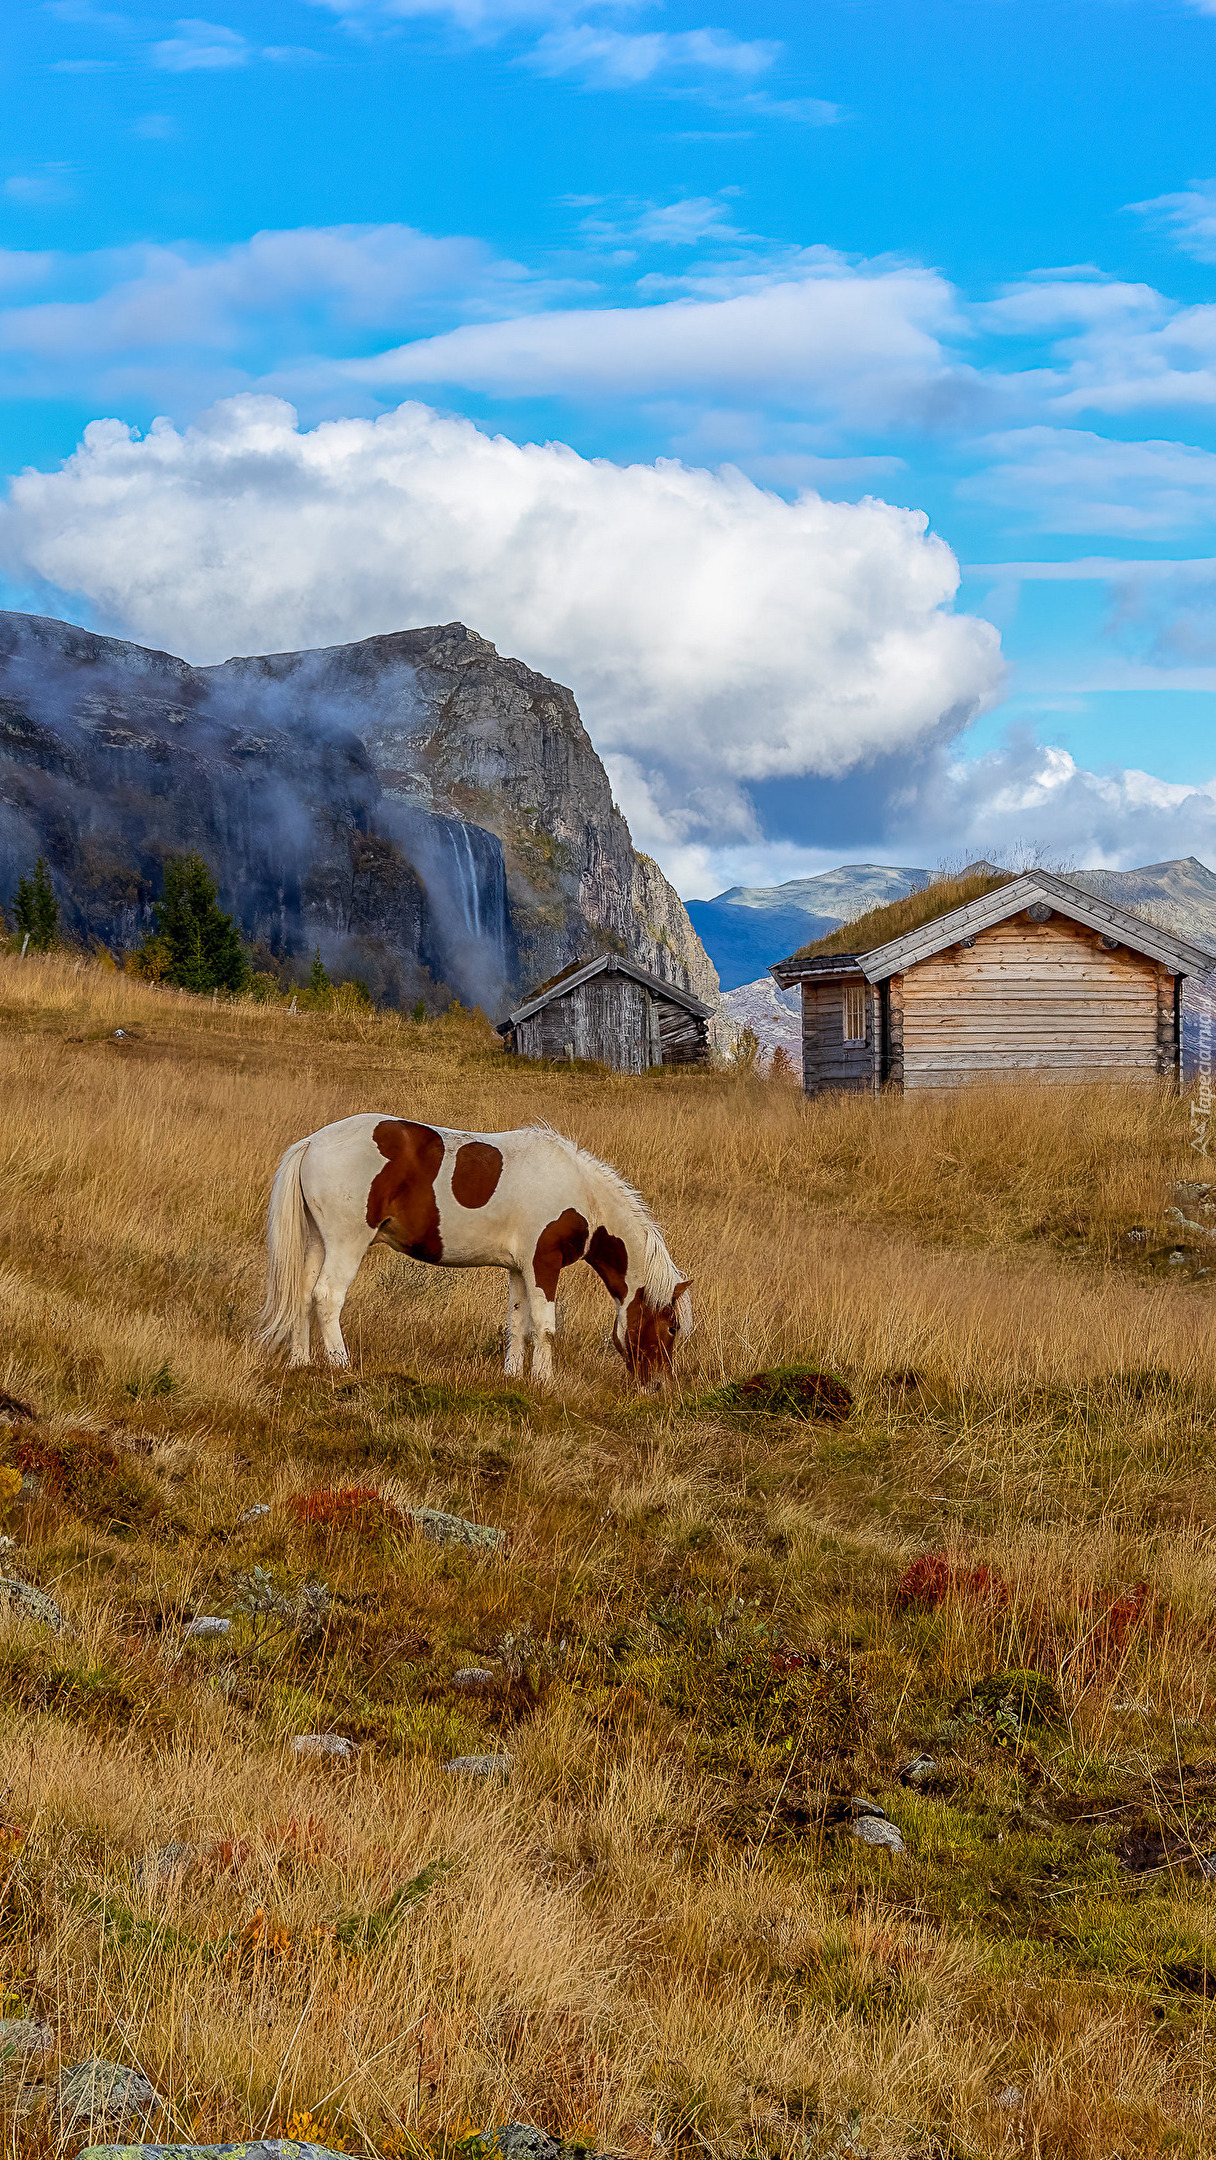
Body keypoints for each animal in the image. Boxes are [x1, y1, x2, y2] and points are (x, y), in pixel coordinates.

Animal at [257, 1114, 695, 1382]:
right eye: (672, 1326)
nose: (658, 1386)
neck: (580, 1191)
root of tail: (313, 1142)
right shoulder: (543, 1263)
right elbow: (545, 1326)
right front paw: (545, 1381)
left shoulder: (520, 1268)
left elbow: (518, 1323)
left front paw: (514, 1376)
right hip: (347, 1242)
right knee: (327, 1296)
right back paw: (342, 1365)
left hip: (319, 1241)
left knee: (302, 1294)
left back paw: (300, 1361)